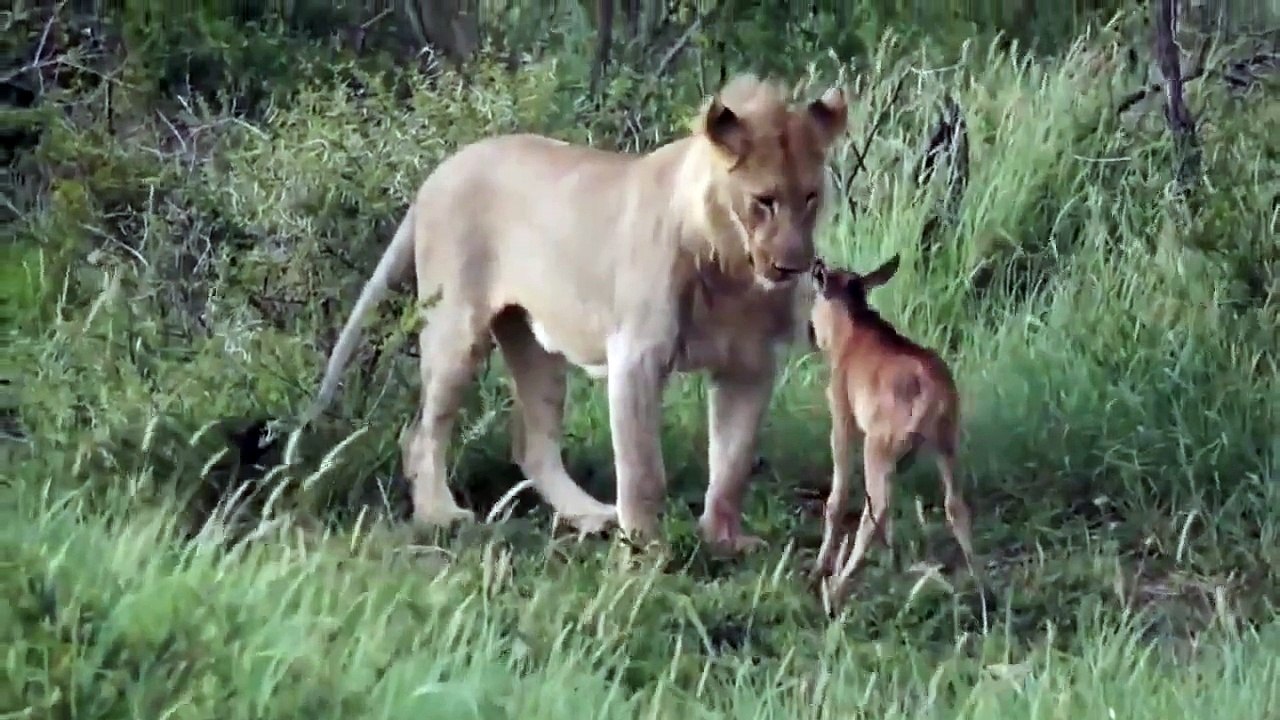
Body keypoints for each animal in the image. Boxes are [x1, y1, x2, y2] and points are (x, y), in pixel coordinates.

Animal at [300, 74, 848, 552]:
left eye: (811, 197)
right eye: (764, 201)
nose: (793, 266)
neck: (733, 266)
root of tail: (438, 172)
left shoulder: (750, 364)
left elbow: (732, 462)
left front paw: (723, 540)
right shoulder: (637, 354)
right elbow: (643, 468)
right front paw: (647, 547)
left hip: (534, 344)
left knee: (532, 444)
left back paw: (590, 515)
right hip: (456, 328)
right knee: (421, 433)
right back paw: (442, 516)